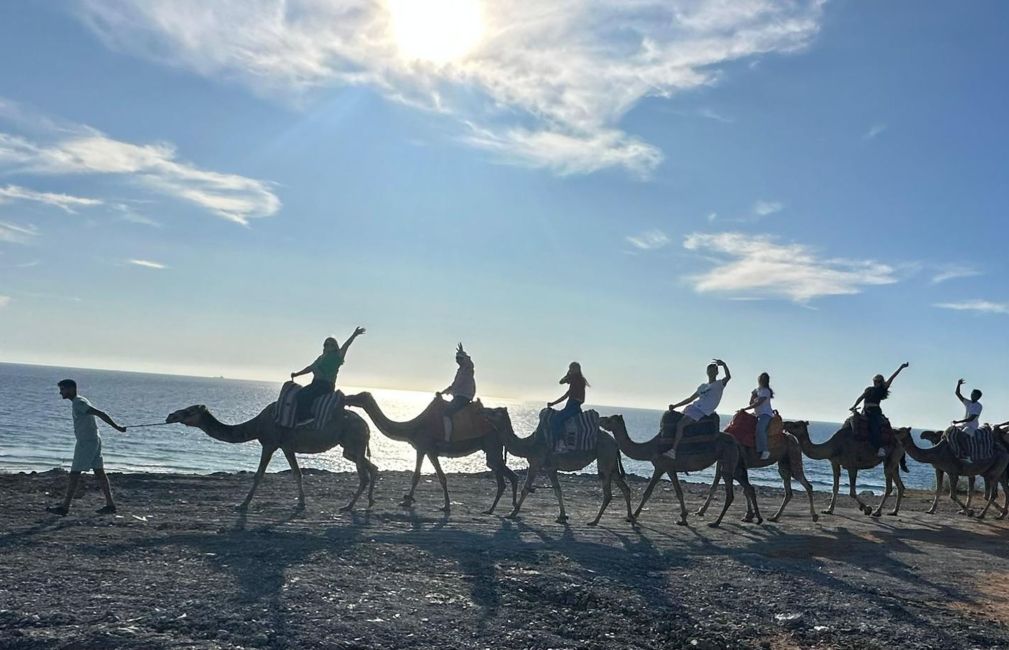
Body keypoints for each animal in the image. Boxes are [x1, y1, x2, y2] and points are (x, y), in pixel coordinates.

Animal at [166, 401, 379, 512]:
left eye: (189, 411)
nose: (170, 416)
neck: (257, 425)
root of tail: (367, 425)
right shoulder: (287, 447)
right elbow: (297, 473)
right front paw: (301, 503)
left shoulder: (270, 444)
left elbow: (259, 475)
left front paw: (243, 505)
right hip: (350, 448)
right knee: (372, 467)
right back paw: (369, 502)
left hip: (353, 441)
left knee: (364, 475)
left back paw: (348, 506)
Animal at [345, 391, 516, 512]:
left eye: (359, 395)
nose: (347, 398)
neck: (412, 427)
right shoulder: (425, 450)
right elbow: (427, 476)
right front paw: (408, 500)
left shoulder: (427, 449)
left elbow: (433, 477)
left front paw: (444, 506)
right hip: (493, 448)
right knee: (505, 476)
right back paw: (501, 509)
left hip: (492, 445)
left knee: (505, 473)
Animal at [480, 405, 629, 524]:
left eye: (494, 411)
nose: (483, 411)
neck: (529, 445)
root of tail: (615, 443)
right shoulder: (550, 468)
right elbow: (558, 490)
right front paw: (562, 516)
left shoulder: (535, 463)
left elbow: (526, 488)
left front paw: (512, 513)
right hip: (612, 463)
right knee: (624, 487)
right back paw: (630, 518)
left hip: (604, 457)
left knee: (608, 492)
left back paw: (594, 521)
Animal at [597, 411, 742, 528]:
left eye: (609, 420)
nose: (600, 419)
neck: (650, 448)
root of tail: (735, 442)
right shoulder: (663, 468)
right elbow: (652, 492)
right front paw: (683, 518)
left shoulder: (665, 467)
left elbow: (671, 492)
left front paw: (633, 516)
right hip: (722, 460)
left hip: (728, 459)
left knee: (730, 493)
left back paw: (715, 522)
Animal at [782, 421, 912, 516]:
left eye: (795, 424)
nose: (785, 423)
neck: (833, 446)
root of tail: (901, 443)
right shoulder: (834, 463)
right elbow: (835, 487)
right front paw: (828, 510)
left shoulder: (852, 466)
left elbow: (852, 492)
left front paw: (867, 508)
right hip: (893, 461)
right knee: (900, 485)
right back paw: (894, 511)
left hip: (891, 459)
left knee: (889, 486)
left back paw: (877, 511)